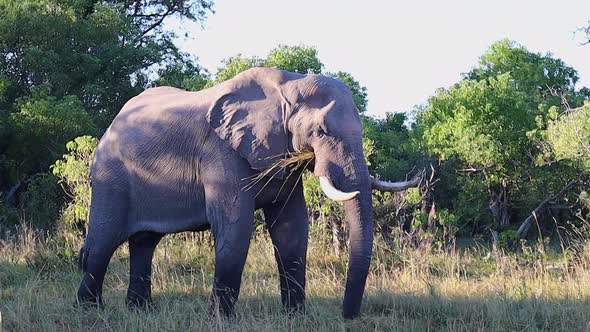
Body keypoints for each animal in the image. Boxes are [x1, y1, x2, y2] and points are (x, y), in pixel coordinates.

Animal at [76, 67, 420, 320]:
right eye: (321, 132)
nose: (348, 317)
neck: (287, 86)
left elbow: (292, 228)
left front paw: (296, 319)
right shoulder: (221, 151)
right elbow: (235, 224)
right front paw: (220, 320)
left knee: (144, 243)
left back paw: (141, 311)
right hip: (110, 177)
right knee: (104, 241)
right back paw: (91, 311)